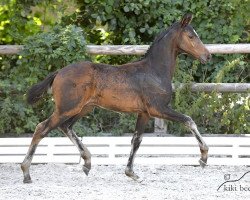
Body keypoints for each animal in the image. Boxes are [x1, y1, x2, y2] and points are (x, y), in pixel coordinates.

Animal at [21, 13, 211, 183]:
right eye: (191, 36)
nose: (208, 55)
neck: (154, 71)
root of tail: (59, 72)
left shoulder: (144, 113)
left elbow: (136, 140)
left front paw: (131, 173)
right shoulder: (158, 109)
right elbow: (188, 120)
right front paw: (203, 157)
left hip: (84, 108)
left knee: (65, 127)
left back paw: (87, 163)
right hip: (67, 108)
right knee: (42, 128)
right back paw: (26, 173)